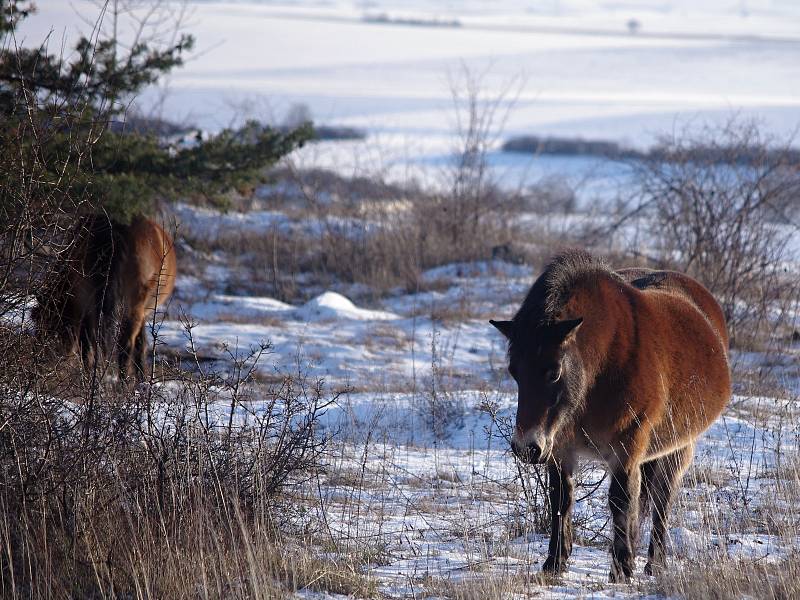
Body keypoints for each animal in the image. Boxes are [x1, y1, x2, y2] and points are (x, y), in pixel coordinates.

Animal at [488, 248, 732, 580]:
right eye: (514, 372)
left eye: (554, 372)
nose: (526, 447)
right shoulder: (559, 448)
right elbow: (560, 499)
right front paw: (555, 562)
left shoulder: (626, 447)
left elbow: (620, 501)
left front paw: (621, 568)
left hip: (678, 448)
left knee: (661, 501)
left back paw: (654, 564)